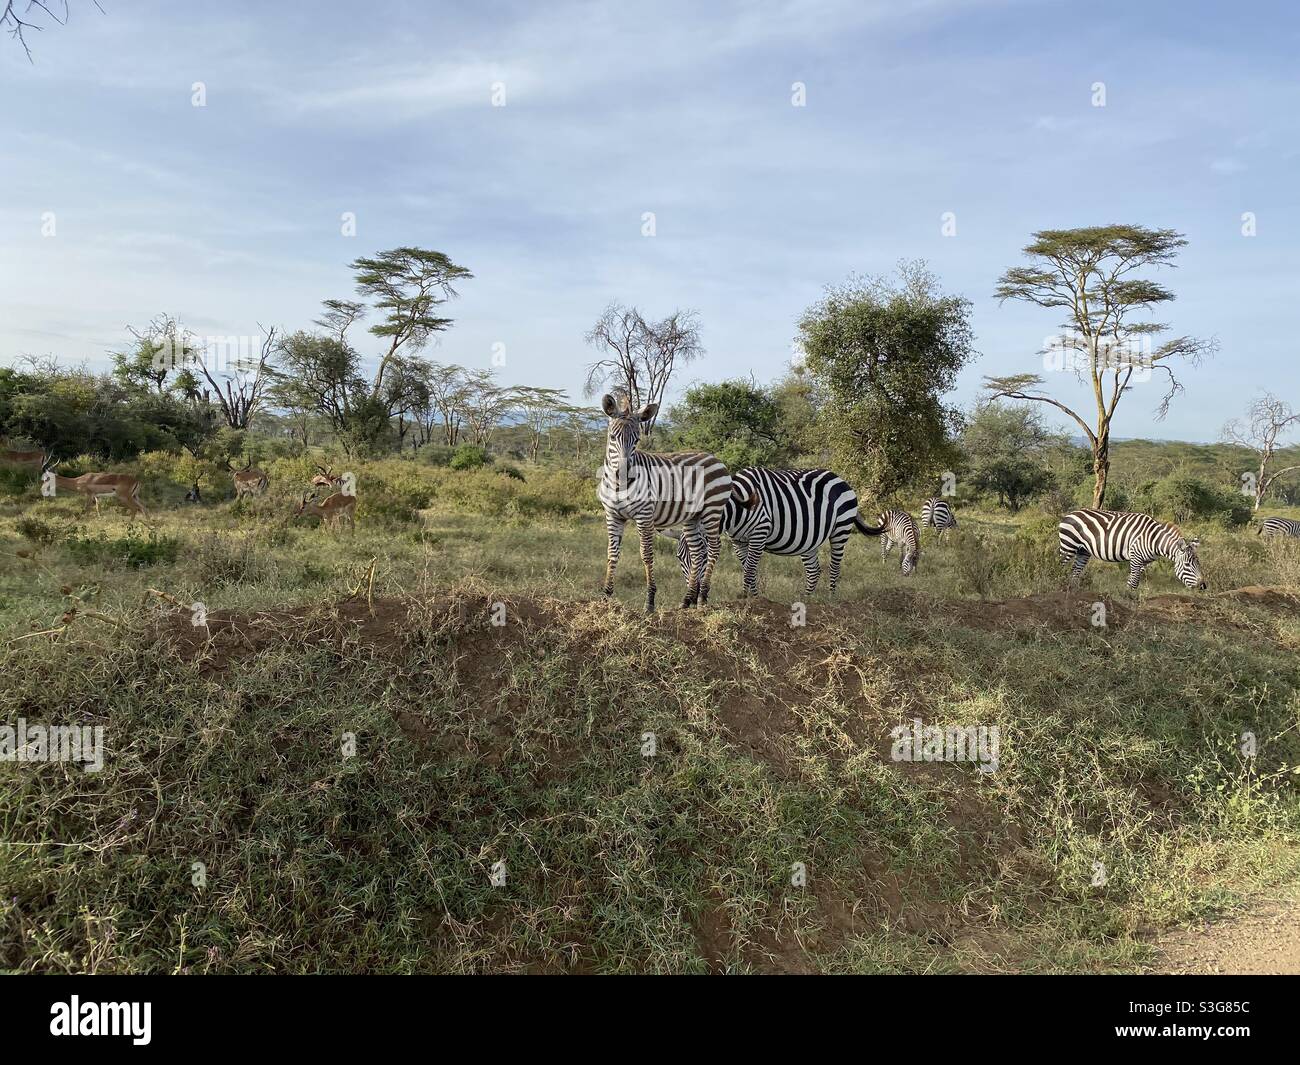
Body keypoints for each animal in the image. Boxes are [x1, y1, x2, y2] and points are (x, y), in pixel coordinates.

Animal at [595, 395, 733, 611]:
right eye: (613, 437)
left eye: (637, 440)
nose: (625, 473)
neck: (619, 487)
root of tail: (714, 457)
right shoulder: (612, 516)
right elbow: (612, 554)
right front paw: (606, 597)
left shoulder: (644, 515)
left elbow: (646, 554)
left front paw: (650, 602)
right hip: (693, 517)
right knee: (697, 551)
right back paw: (687, 600)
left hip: (712, 510)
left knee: (714, 548)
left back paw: (702, 597)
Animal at [665, 468, 889, 600]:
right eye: (678, 557)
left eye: (703, 556)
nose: (691, 592)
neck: (737, 508)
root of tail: (840, 478)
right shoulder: (738, 540)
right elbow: (748, 568)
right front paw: (754, 598)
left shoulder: (759, 532)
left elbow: (749, 569)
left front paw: (744, 598)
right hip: (811, 538)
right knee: (814, 570)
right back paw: (806, 599)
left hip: (841, 528)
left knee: (834, 567)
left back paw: (831, 598)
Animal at [1060, 507, 1201, 590]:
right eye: (1187, 565)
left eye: (1198, 564)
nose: (1203, 586)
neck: (1154, 539)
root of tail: (1070, 513)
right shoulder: (1136, 557)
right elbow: (1134, 581)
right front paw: (1130, 600)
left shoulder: (1143, 562)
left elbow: (1133, 580)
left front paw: (1129, 596)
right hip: (1068, 545)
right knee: (1060, 565)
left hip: (1083, 550)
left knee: (1075, 571)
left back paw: (1073, 591)